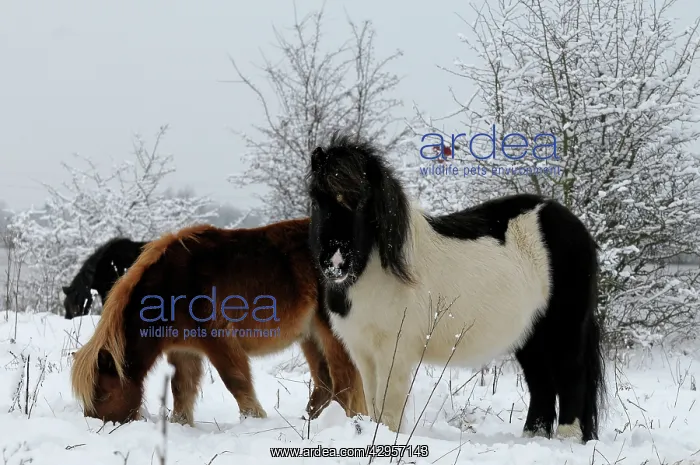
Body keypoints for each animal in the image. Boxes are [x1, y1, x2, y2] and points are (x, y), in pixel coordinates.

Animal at [70, 219, 366, 427]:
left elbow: (236, 382)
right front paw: (181, 425)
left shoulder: (219, 340)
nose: (98, 425)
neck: (172, 287)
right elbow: (182, 391)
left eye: (103, 394)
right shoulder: (183, 351)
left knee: (345, 382)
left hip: (330, 332)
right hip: (310, 336)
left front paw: (253, 421)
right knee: (325, 384)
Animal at [305, 133, 606, 442]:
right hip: (531, 335)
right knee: (542, 385)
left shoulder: (394, 353)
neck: (374, 270)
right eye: (316, 200)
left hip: (564, 329)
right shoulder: (363, 352)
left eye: (364, 202)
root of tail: (573, 225)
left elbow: (389, 409)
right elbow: (374, 403)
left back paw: (567, 440)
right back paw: (533, 438)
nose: (335, 264)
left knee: (571, 379)